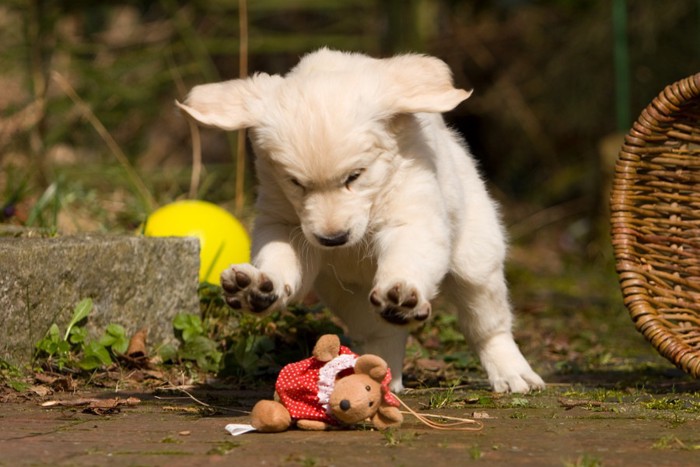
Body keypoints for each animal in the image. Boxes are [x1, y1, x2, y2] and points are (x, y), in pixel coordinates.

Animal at [178, 47, 544, 394]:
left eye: (355, 176)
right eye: (295, 182)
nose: (333, 239)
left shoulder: (413, 216)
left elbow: (408, 257)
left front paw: (402, 291)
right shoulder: (285, 225)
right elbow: (280, 260)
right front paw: (258, 287)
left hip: (476, 259)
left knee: (487, 324)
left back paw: (513, 374)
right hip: (350, 299)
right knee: (383, 335)